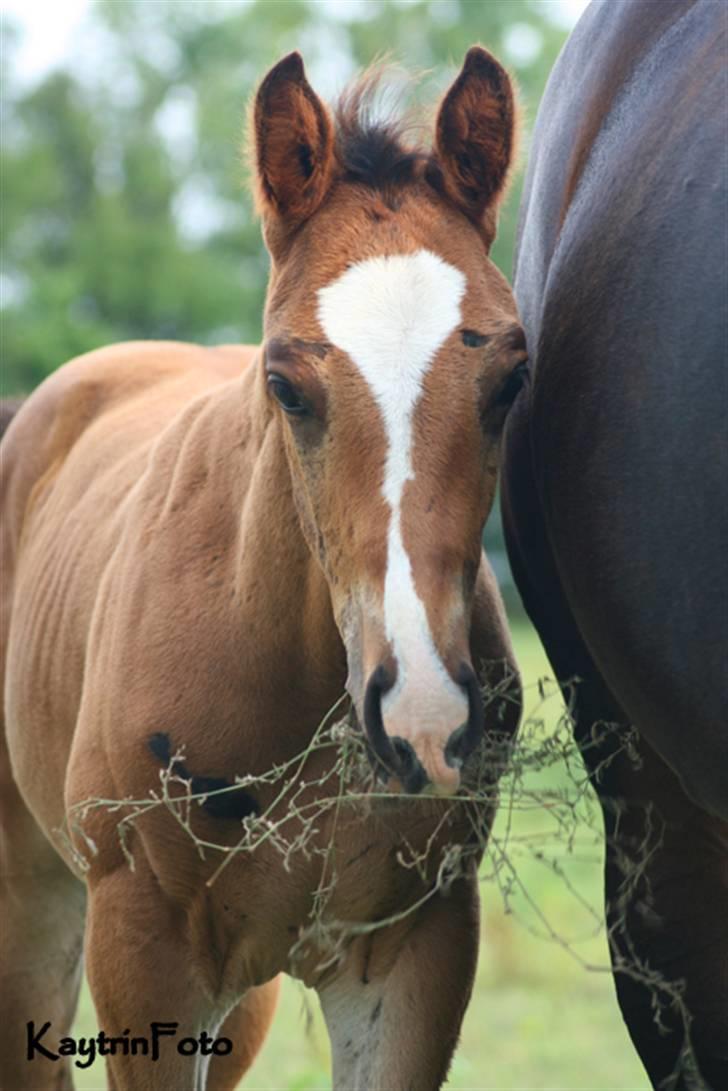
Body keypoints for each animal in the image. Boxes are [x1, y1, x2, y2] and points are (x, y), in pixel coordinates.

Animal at [0, 46, 523, 1091]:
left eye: (512, 379)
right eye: (285, 383)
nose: (424, 714)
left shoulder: (416, 951)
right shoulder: (143, 952)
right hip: (31, 896)